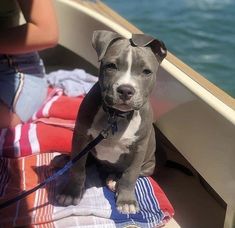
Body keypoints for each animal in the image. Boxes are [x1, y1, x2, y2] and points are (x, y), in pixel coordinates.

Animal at [55, 29, 167, 214]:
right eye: (111, 66)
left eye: (146, 72)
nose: (126, 90)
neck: (117, 115)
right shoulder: (81, 136)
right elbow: (78, 168)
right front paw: (70, 193)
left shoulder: (139, 148)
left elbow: (130, 175)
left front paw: (127, 201)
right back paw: (64, 159)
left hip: (149, 164)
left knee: (132, 173)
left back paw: (114, 180)